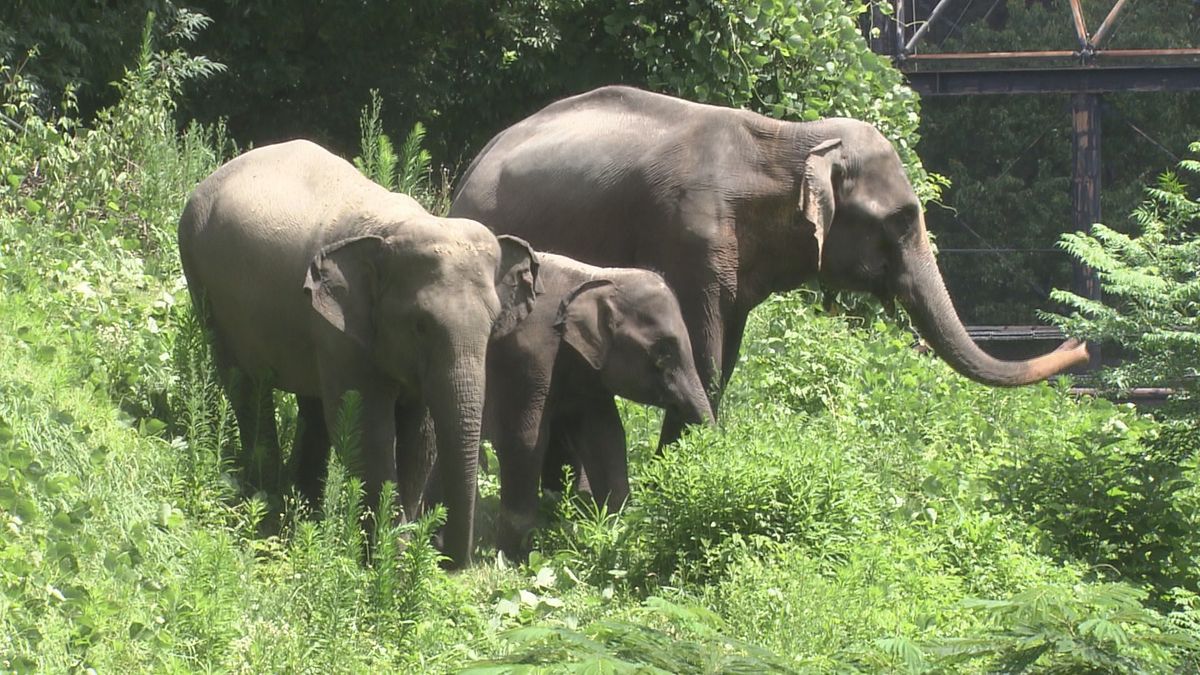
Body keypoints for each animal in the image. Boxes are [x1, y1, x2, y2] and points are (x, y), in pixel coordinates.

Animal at [177, 139, 540, 564]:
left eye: (494, 322)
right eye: (420, 325)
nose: (452, 564)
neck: (392, 227)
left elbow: (420, 435)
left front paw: (400, 545)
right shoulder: (342, 333)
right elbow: (368, 430)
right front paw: (387, 555)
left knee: (312, 403)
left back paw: (304, 505)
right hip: (201, 279)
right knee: (246, 385)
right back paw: (265, 493)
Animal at [451, 85, 1089, 446]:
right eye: (903, 220)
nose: (1080, 345)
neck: (790, 141)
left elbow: (726, 353)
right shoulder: (691, 234)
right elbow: (702, 350)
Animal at [484, 252, 715, 557]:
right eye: (662, 352)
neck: (597, 277)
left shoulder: (586, 368)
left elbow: (605, 435)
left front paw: (616, 530)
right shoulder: (528, 354)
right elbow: (525, 438)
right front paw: (513, 556)